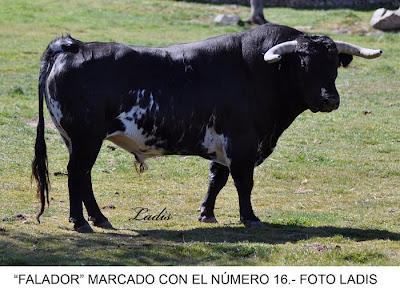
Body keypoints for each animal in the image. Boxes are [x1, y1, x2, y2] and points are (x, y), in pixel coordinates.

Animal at [31, 24, 382, 233]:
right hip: (85, 138)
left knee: (83, 176)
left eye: (334, 63)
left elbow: (218, 179)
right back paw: (81, 222)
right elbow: (243, 183)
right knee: (77, 174)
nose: (330, 99)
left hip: (77, 140)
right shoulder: (242, 144)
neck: (262, 73)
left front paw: (206, 213)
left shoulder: (225, 145)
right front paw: (250, 218)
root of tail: (72, 45)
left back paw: (99, 218)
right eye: (305, 63)